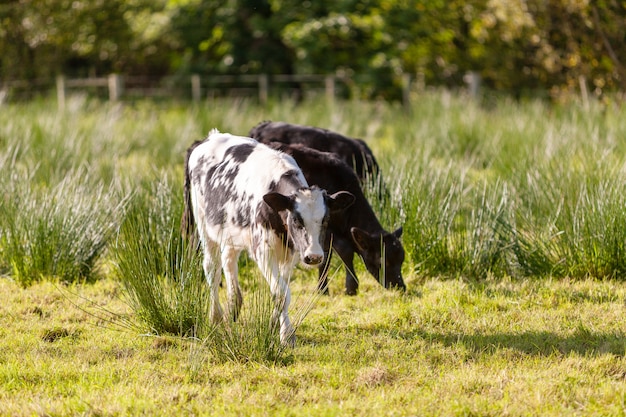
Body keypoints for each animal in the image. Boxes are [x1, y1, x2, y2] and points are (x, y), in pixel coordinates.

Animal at [183, 130, 354, 344]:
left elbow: (282, 289)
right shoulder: (263, 250)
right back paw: (216, 316)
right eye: (296, 219)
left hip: (231, 231)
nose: (314, 257)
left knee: (229, 260)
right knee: (212, 268)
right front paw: (287, 335)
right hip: (203, 224)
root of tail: (211, 137)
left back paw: (233, 307)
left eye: (326, 219)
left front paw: (275, 324)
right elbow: (281, 293)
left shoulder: (292, 252)